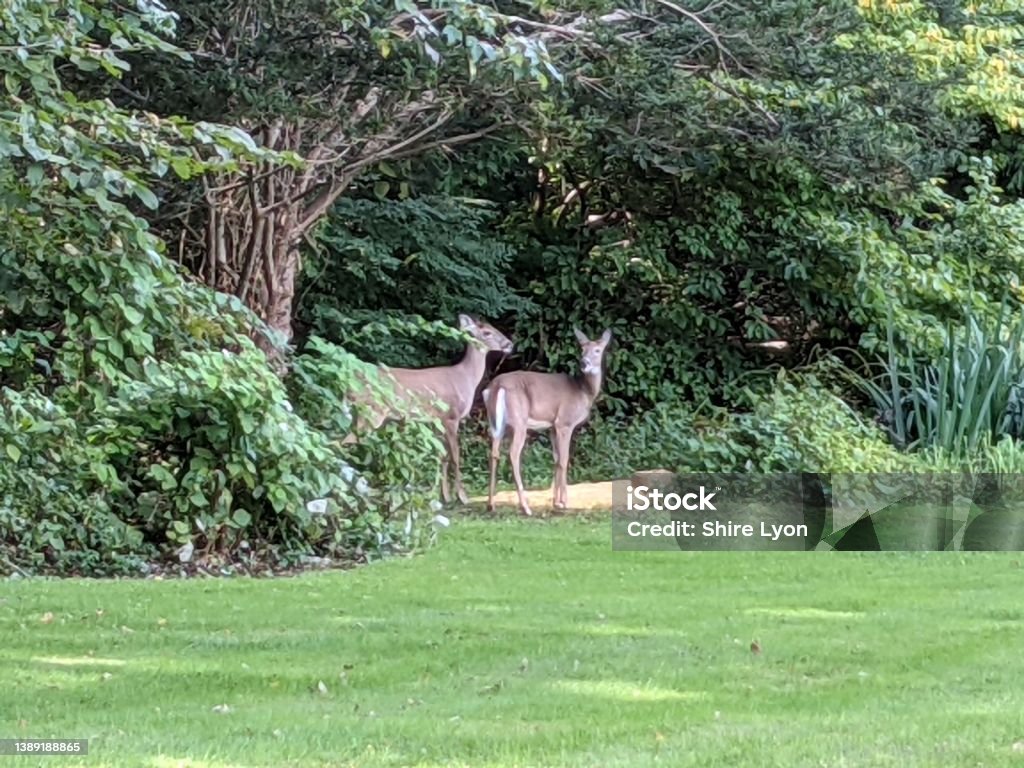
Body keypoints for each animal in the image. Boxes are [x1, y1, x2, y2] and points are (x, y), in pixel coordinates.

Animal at [346, 315, 512, 507]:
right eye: (486, 332)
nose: (509, 344)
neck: (465, 378)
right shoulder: (451, 416)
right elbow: (455, 456)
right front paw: (462, 497)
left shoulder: (437, 420)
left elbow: (442, 455)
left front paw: (443, 496)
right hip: (372, 411)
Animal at [483, 325, 610, 518]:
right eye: (582, 349)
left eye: (597, 350)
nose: (584, 363)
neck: (583, 391)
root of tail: (496, 386)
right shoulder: (564, 422)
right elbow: (564, 459)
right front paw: (564, 502)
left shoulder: (552, 427)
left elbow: (556, 459)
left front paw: (555, 502)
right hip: (519, 421)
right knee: (513, 454)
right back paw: (525, 507)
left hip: (496, 423)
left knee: (494, 453)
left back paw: (491, 505)